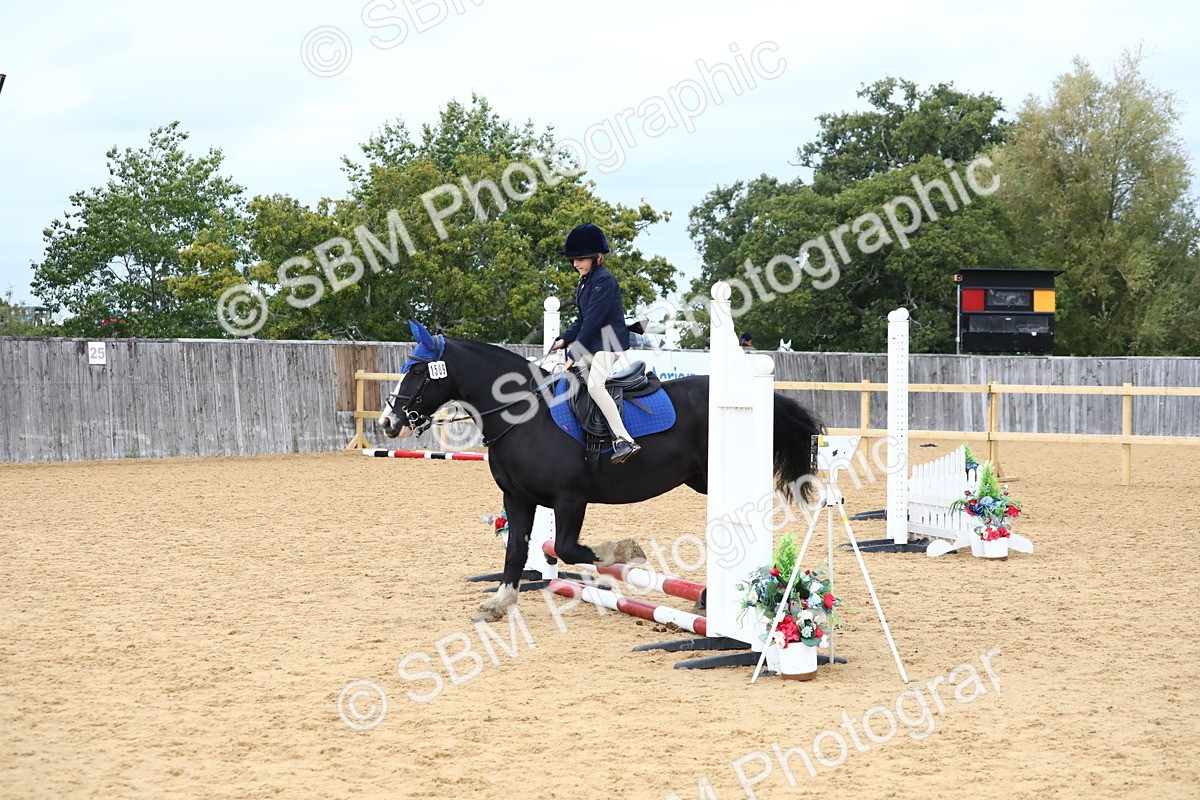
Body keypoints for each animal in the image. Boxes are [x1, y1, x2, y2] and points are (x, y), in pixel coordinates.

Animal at [379, 321, 824, 623]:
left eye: (417, 371)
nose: (388, 422)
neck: (524, 414)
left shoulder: (570, 499)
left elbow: (570, 548)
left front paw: (621, 559)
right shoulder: (518, 498)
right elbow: (517, 551)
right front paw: (498, 603)